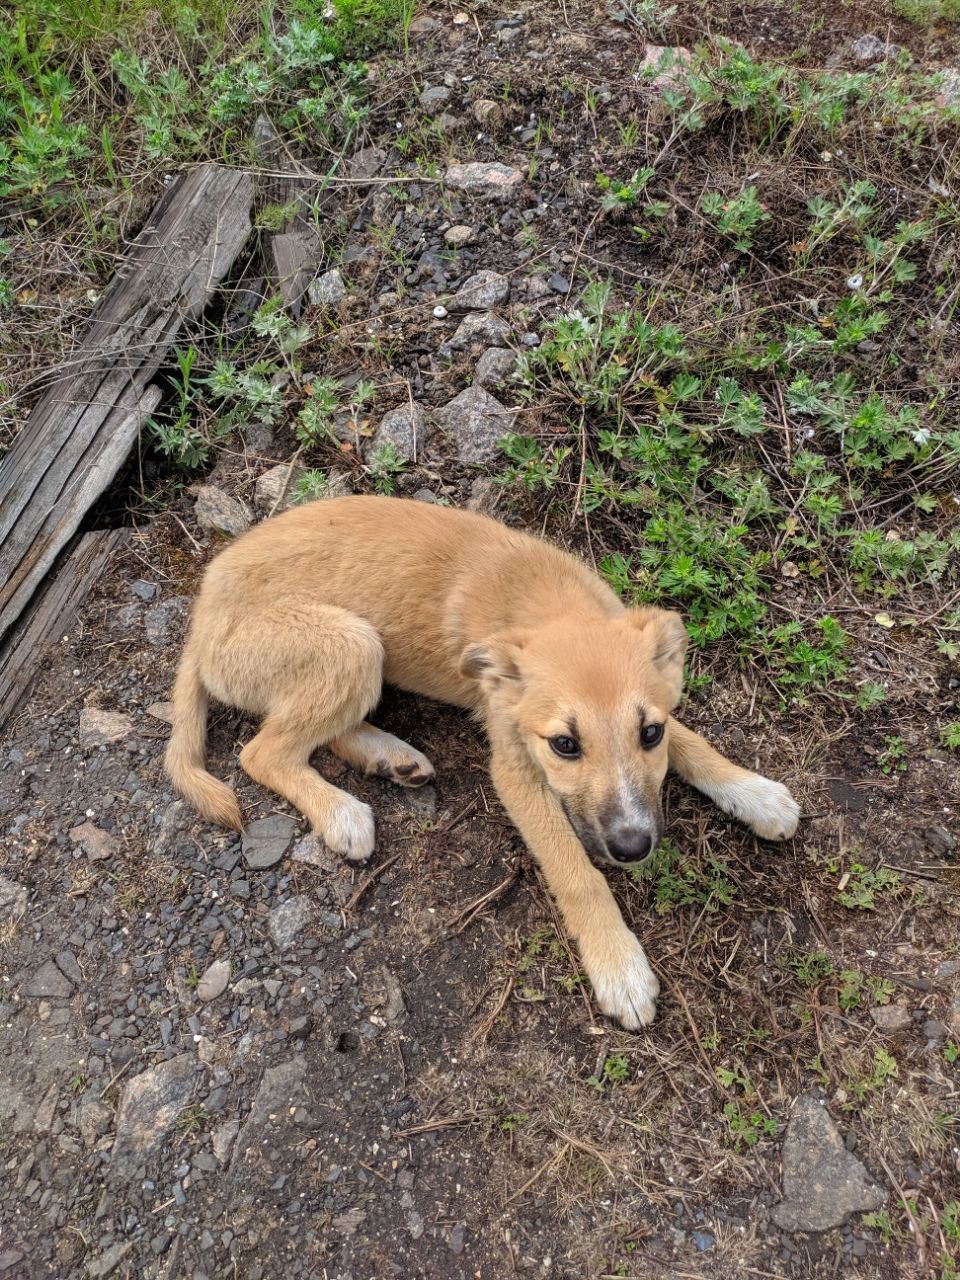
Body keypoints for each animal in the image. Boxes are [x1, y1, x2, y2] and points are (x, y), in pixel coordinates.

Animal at [165, 491, 798, 1029]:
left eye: (649, 732)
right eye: (564, 745)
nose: (633, 847)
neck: (549, 605)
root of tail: (199, 624)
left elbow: (693, 744)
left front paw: (755, 793)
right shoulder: (513, 768)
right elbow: (576, 870)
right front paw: (618, 965)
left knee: (315, 733)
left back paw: (390, 757)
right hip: (350, 643)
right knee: (262, 751)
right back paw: (341, 812)